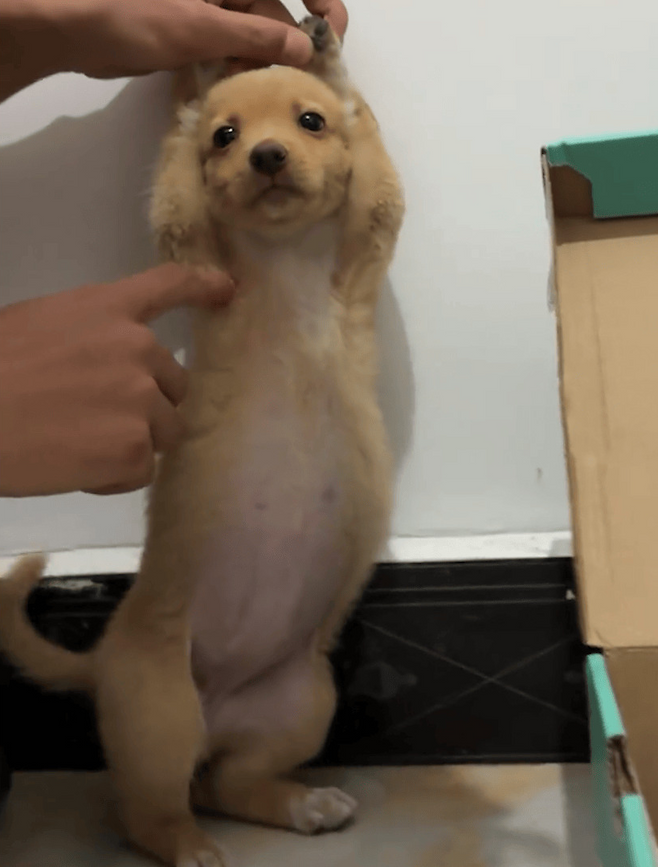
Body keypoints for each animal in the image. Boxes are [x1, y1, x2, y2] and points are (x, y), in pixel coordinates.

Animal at [0, 17, 404, 867]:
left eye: (309, 122)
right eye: (224, 136)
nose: (268, 156)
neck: (284, 260)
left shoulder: (372, 229)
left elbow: (370, 148)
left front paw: (326, 55)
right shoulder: (185, 239)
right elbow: (175, 173)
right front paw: (199, 61)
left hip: (302, 702)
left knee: (226, 781)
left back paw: (304, 803)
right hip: (160, 713)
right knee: (147, 807)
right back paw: (189, 846)